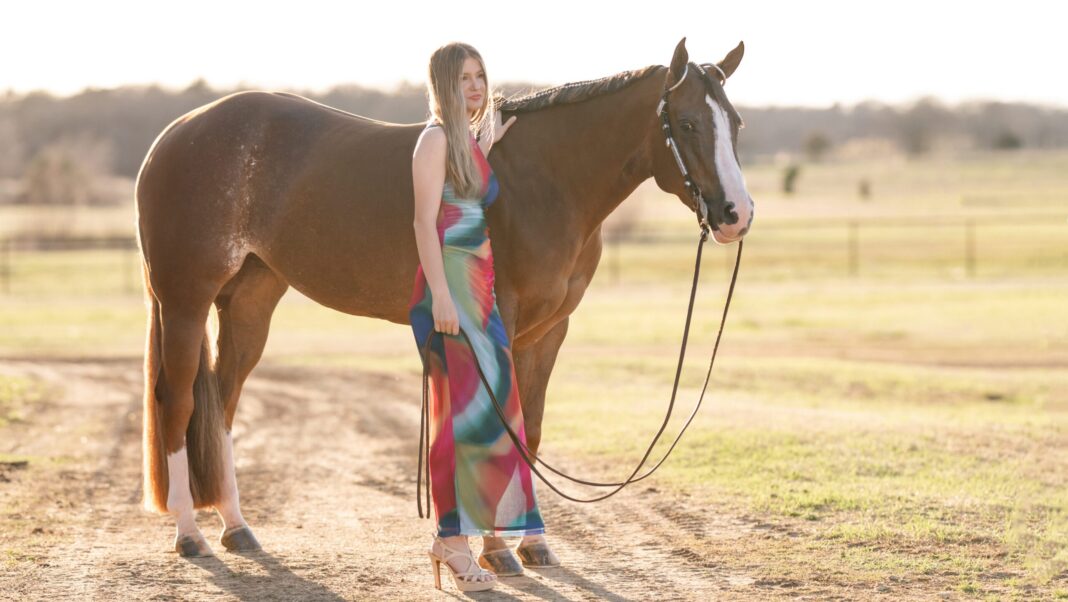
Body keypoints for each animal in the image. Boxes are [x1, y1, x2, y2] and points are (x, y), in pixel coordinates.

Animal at [135, 37, 754, 558]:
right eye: (689, 123)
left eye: (737, 123)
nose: (736, 215)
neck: (544, 181)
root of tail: (175, 134)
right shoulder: (499, 320)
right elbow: (501, 428)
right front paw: (497, 548)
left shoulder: (549, 332)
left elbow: (530, 427)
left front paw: (532, 545)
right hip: (185, 301)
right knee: (180, 402)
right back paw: (190, 534)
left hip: (249, 302)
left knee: (223, 402)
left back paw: (237, 527)